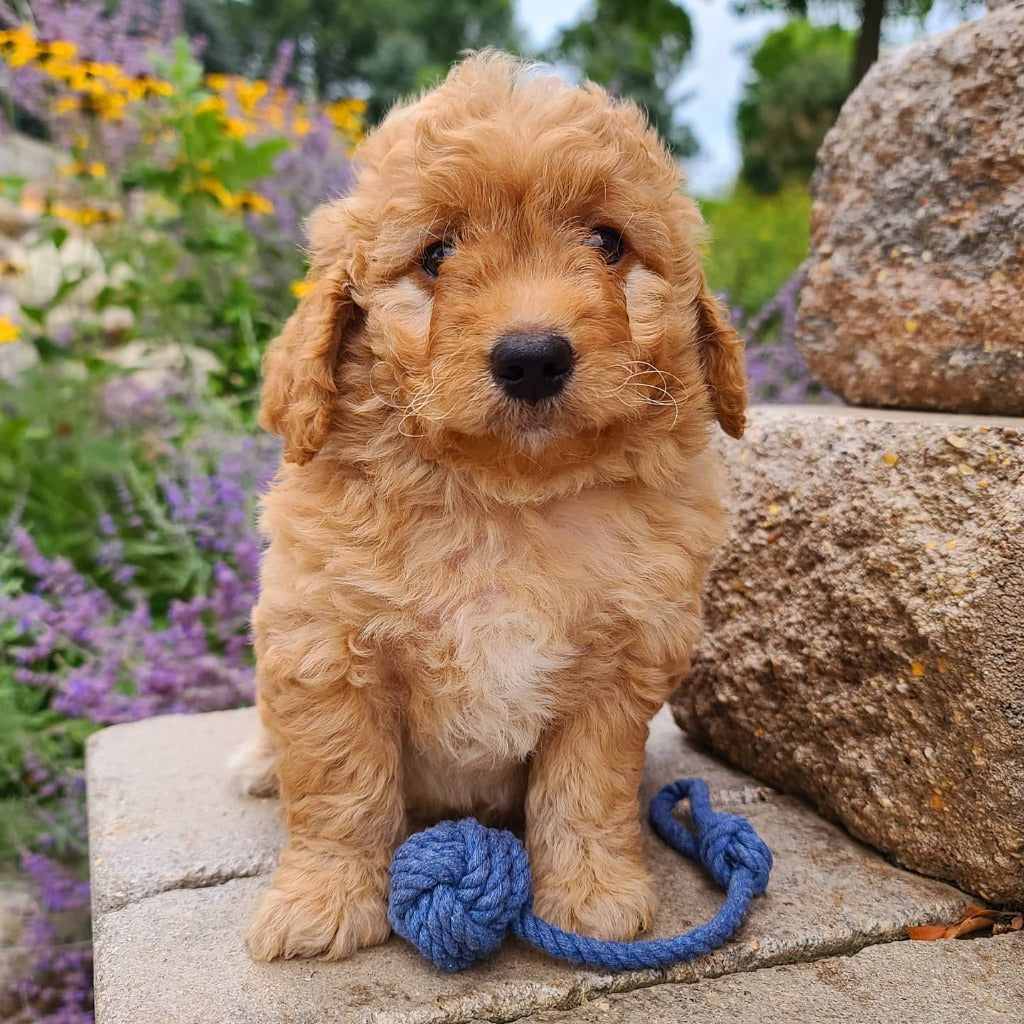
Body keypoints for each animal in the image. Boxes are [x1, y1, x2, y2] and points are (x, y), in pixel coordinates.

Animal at [236, 49, 749, 958]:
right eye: (436, 254)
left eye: (608, 242)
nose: (534, 356)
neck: (507, 501)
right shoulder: (324, 646)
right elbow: (340, 786)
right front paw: (320, 905)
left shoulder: (619, 666)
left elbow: (586, 789)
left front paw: (593, 897)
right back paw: (262, 764)